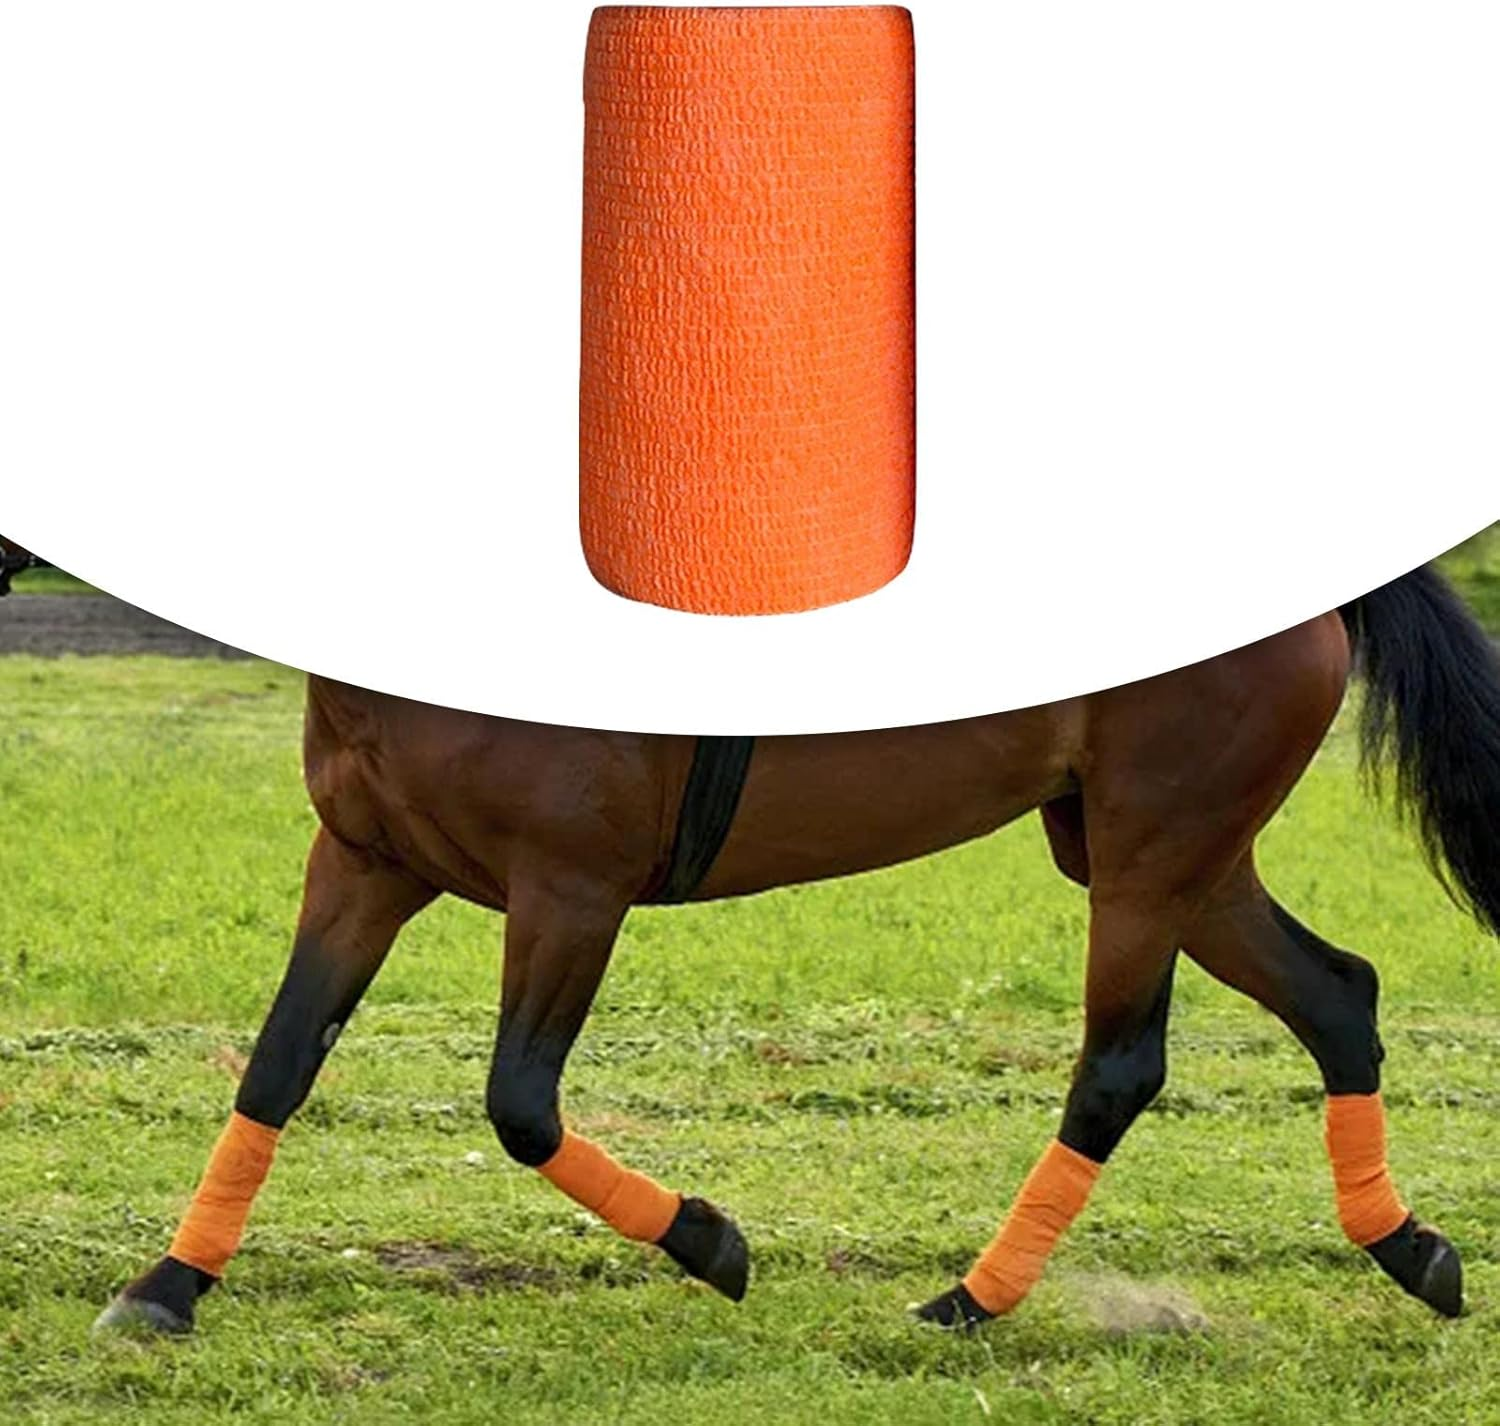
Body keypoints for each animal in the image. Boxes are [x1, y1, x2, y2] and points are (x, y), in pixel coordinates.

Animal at [97, 563, 1500, 1335]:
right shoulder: (363, 864)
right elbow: (280, 1063)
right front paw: (169, 1285)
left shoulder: (571, 889)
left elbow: (520, 1103)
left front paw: (711, 1240)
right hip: (1162, 853)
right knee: (1341, 993)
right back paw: (1413, 1250)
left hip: (1156, 851)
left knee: (1121, 1067)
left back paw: (969, 1302)